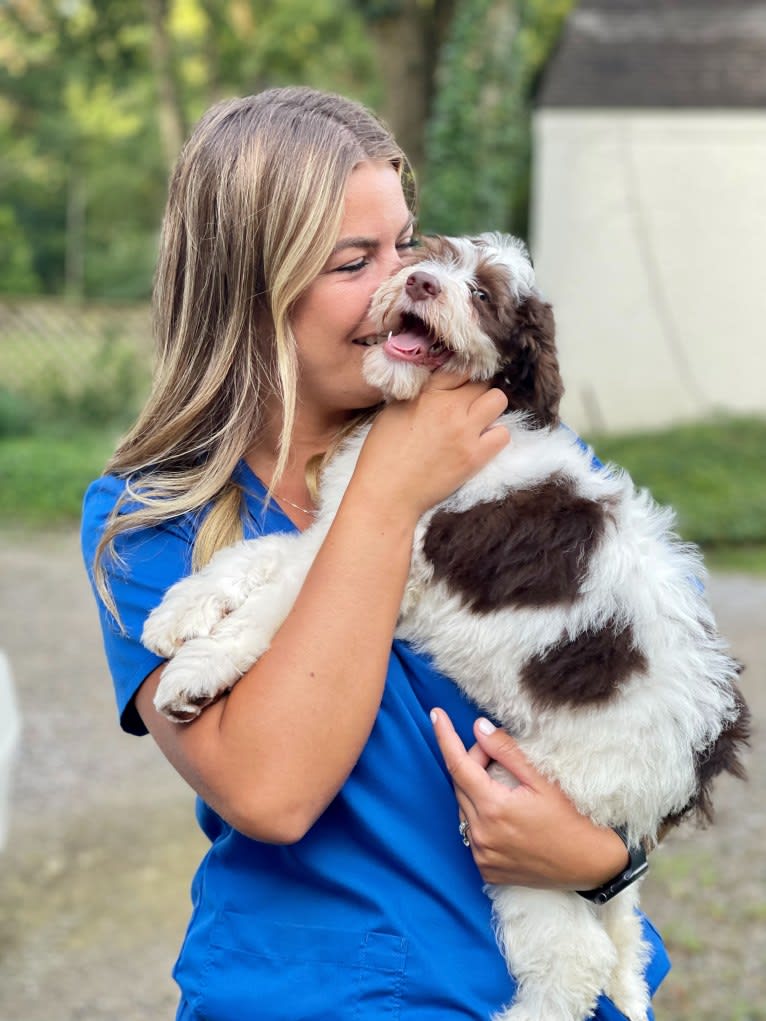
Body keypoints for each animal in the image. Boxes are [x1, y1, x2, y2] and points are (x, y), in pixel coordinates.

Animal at [142, 233, 751, 1021]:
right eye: (425, 254)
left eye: (484, 295)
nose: (422, 284)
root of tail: (709, 745)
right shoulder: (343, 534)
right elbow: (258, 554)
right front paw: (176, 612)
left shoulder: (389, 559)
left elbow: (274, 608)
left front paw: (191, 676)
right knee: (616, 942)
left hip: (531, 798)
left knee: (575, 959)